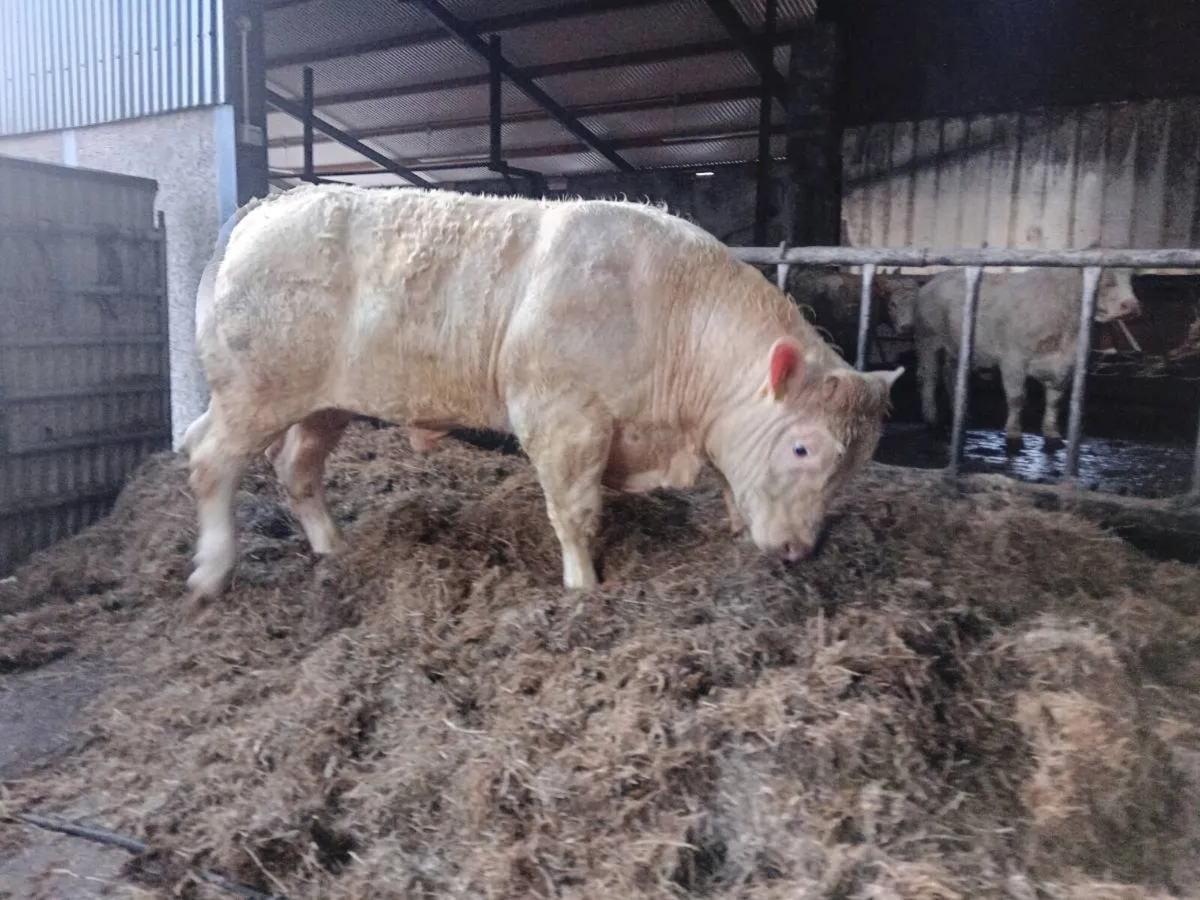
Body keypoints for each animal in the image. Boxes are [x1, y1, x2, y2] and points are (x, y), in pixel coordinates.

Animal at [180, 184, 904, 600]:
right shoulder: (565, 420)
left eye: (858, 466)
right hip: (254, 390)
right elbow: (576, 513)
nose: (798, 551)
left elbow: (729, 484)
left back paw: (334, 548)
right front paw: (584, 590)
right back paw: (212, 573)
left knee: (296, 469)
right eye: (804, 449)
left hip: (323, 403)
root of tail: (268, 205)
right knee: (211, 460)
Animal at [910, 266, 1141, 452]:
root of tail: (933, 281)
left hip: (957, 348)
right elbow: (1017, 398)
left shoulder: (1065, 365)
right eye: (1106, 279)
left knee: (951, 376)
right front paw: (1013, 435)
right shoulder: (1013, 360)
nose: (1132, 306)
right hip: (928, 341)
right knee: (928, 378)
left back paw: (961, 414)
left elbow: (1055, 401)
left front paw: (1052, 435)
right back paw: (932, 420)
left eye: (1131, 278)